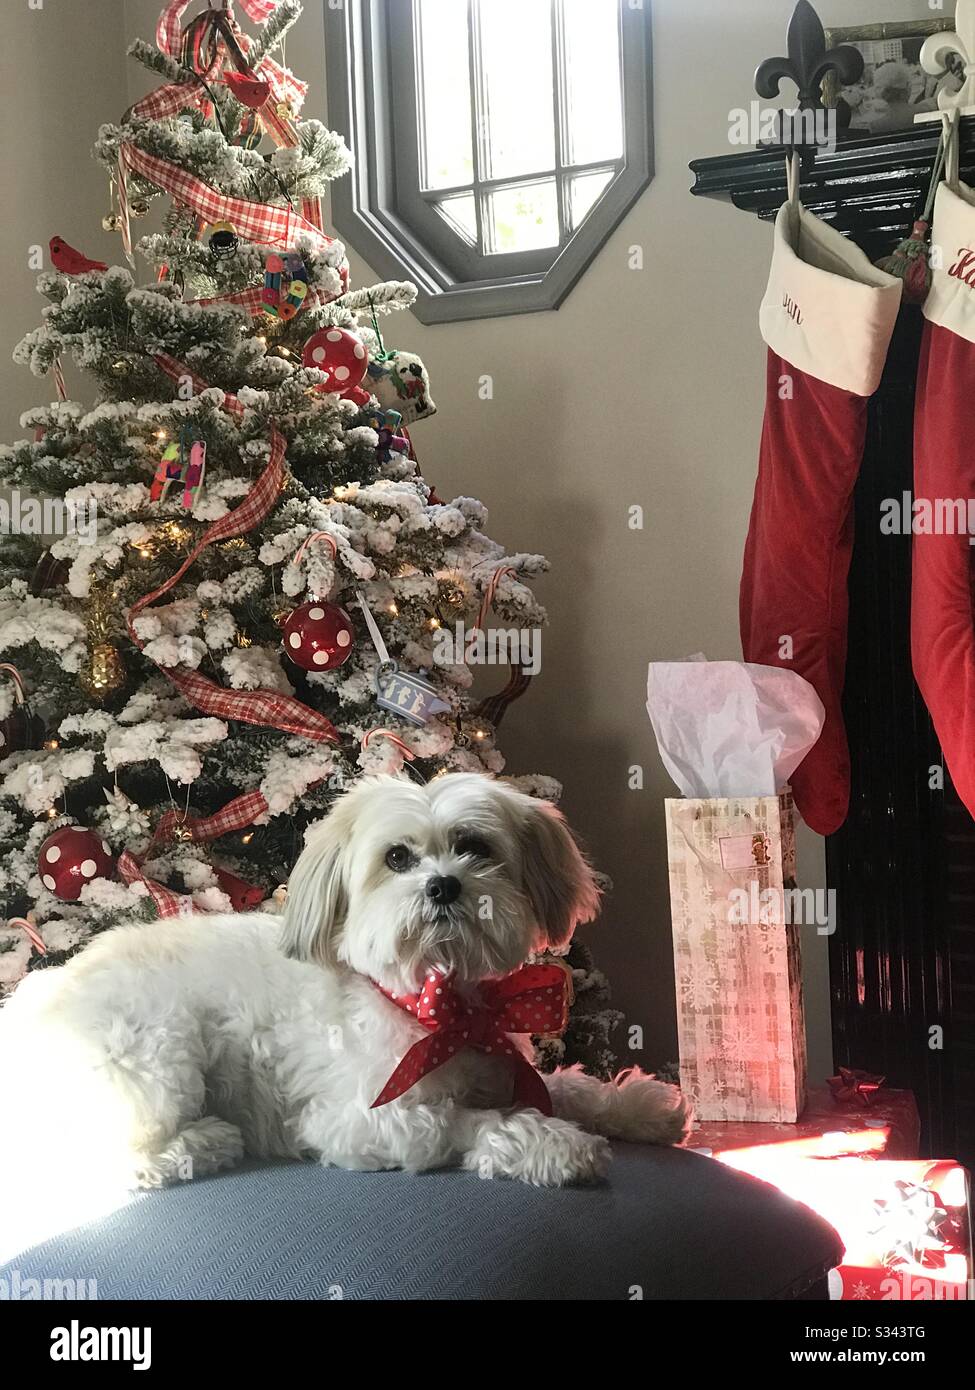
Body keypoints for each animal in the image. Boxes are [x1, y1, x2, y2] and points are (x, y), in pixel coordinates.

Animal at [0, 772, 687, 1195]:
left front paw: (637, 1106)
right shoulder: (360, 1121)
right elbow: (476, 1121)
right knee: (102, 1159)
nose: (444, 885)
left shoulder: (503, 1063)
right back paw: (208, 1141)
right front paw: (558, 1145)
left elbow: (564, 1087)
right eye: (397, 858)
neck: (437, 1008)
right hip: (154, 1055)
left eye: (475, 847)